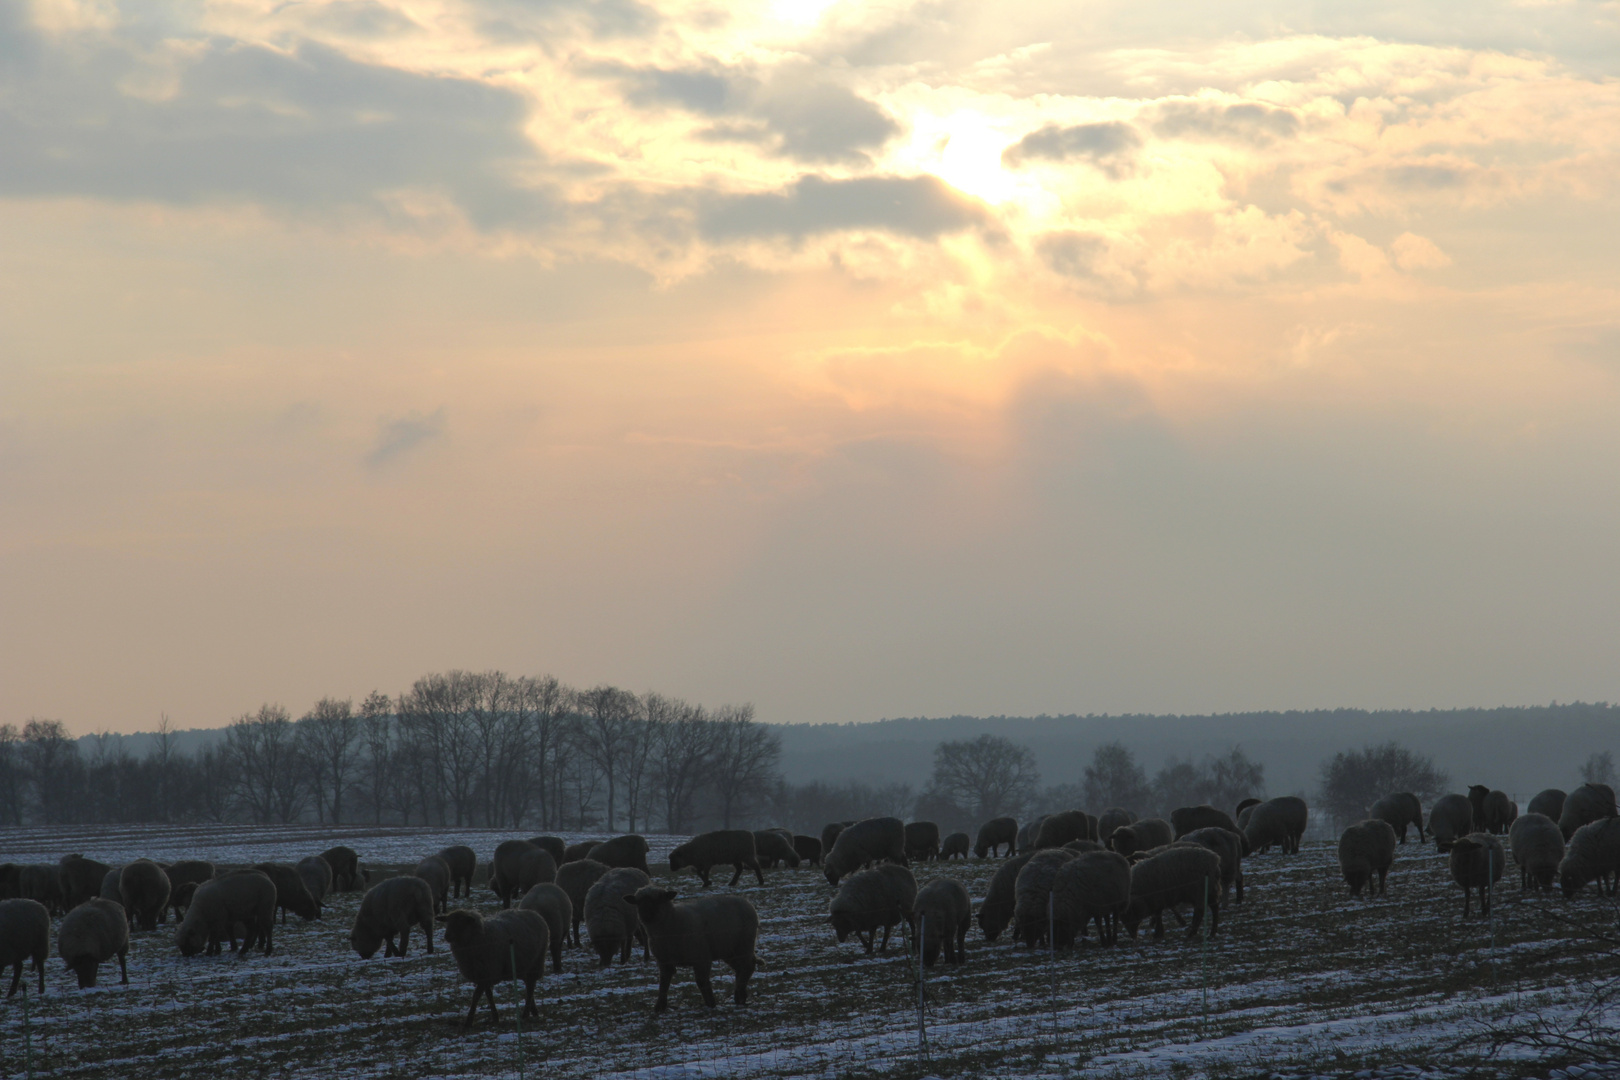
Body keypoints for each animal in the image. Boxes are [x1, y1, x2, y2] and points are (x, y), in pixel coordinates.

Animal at [628, 887, 761, 1016]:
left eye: (659, 898)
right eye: (637, 901)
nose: (645, 915)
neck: (672, 921)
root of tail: (746, 901)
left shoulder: (701, 958)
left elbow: (702, 982)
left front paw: (711, 1004)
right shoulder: (664, 962)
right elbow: (663, 983)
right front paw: (659, 1007)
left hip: (744, 945)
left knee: (748, 966)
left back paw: (740, 995)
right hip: (729, 951)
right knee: (741, 968)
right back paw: (739, 995)